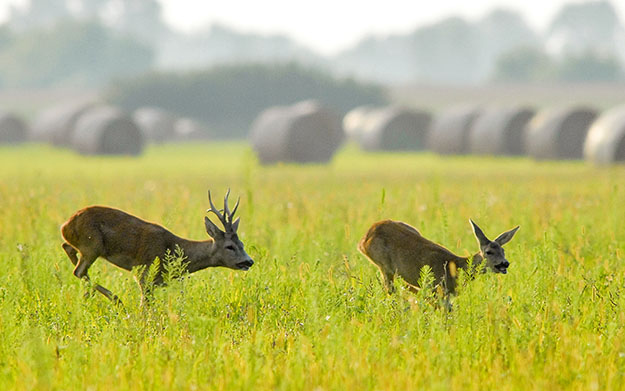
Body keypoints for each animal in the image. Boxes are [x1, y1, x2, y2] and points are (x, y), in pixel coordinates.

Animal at [59, 191, 254, 306]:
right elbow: (145, 307)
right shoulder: (144, 274)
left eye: (242, 244)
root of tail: (65, 225)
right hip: (93, 245)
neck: (174, 249)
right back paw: (117, 300)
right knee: (79, 271)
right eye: (229, 246)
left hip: (86, 246)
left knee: (69, 250)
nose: (249, 261)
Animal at [358, 220, 520, 294]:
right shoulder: (438, 290)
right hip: (384, 266)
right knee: (390, 290)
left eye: (503, 250)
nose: (505, 263)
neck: (456, 266)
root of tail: (364, 239)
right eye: (488, 252)